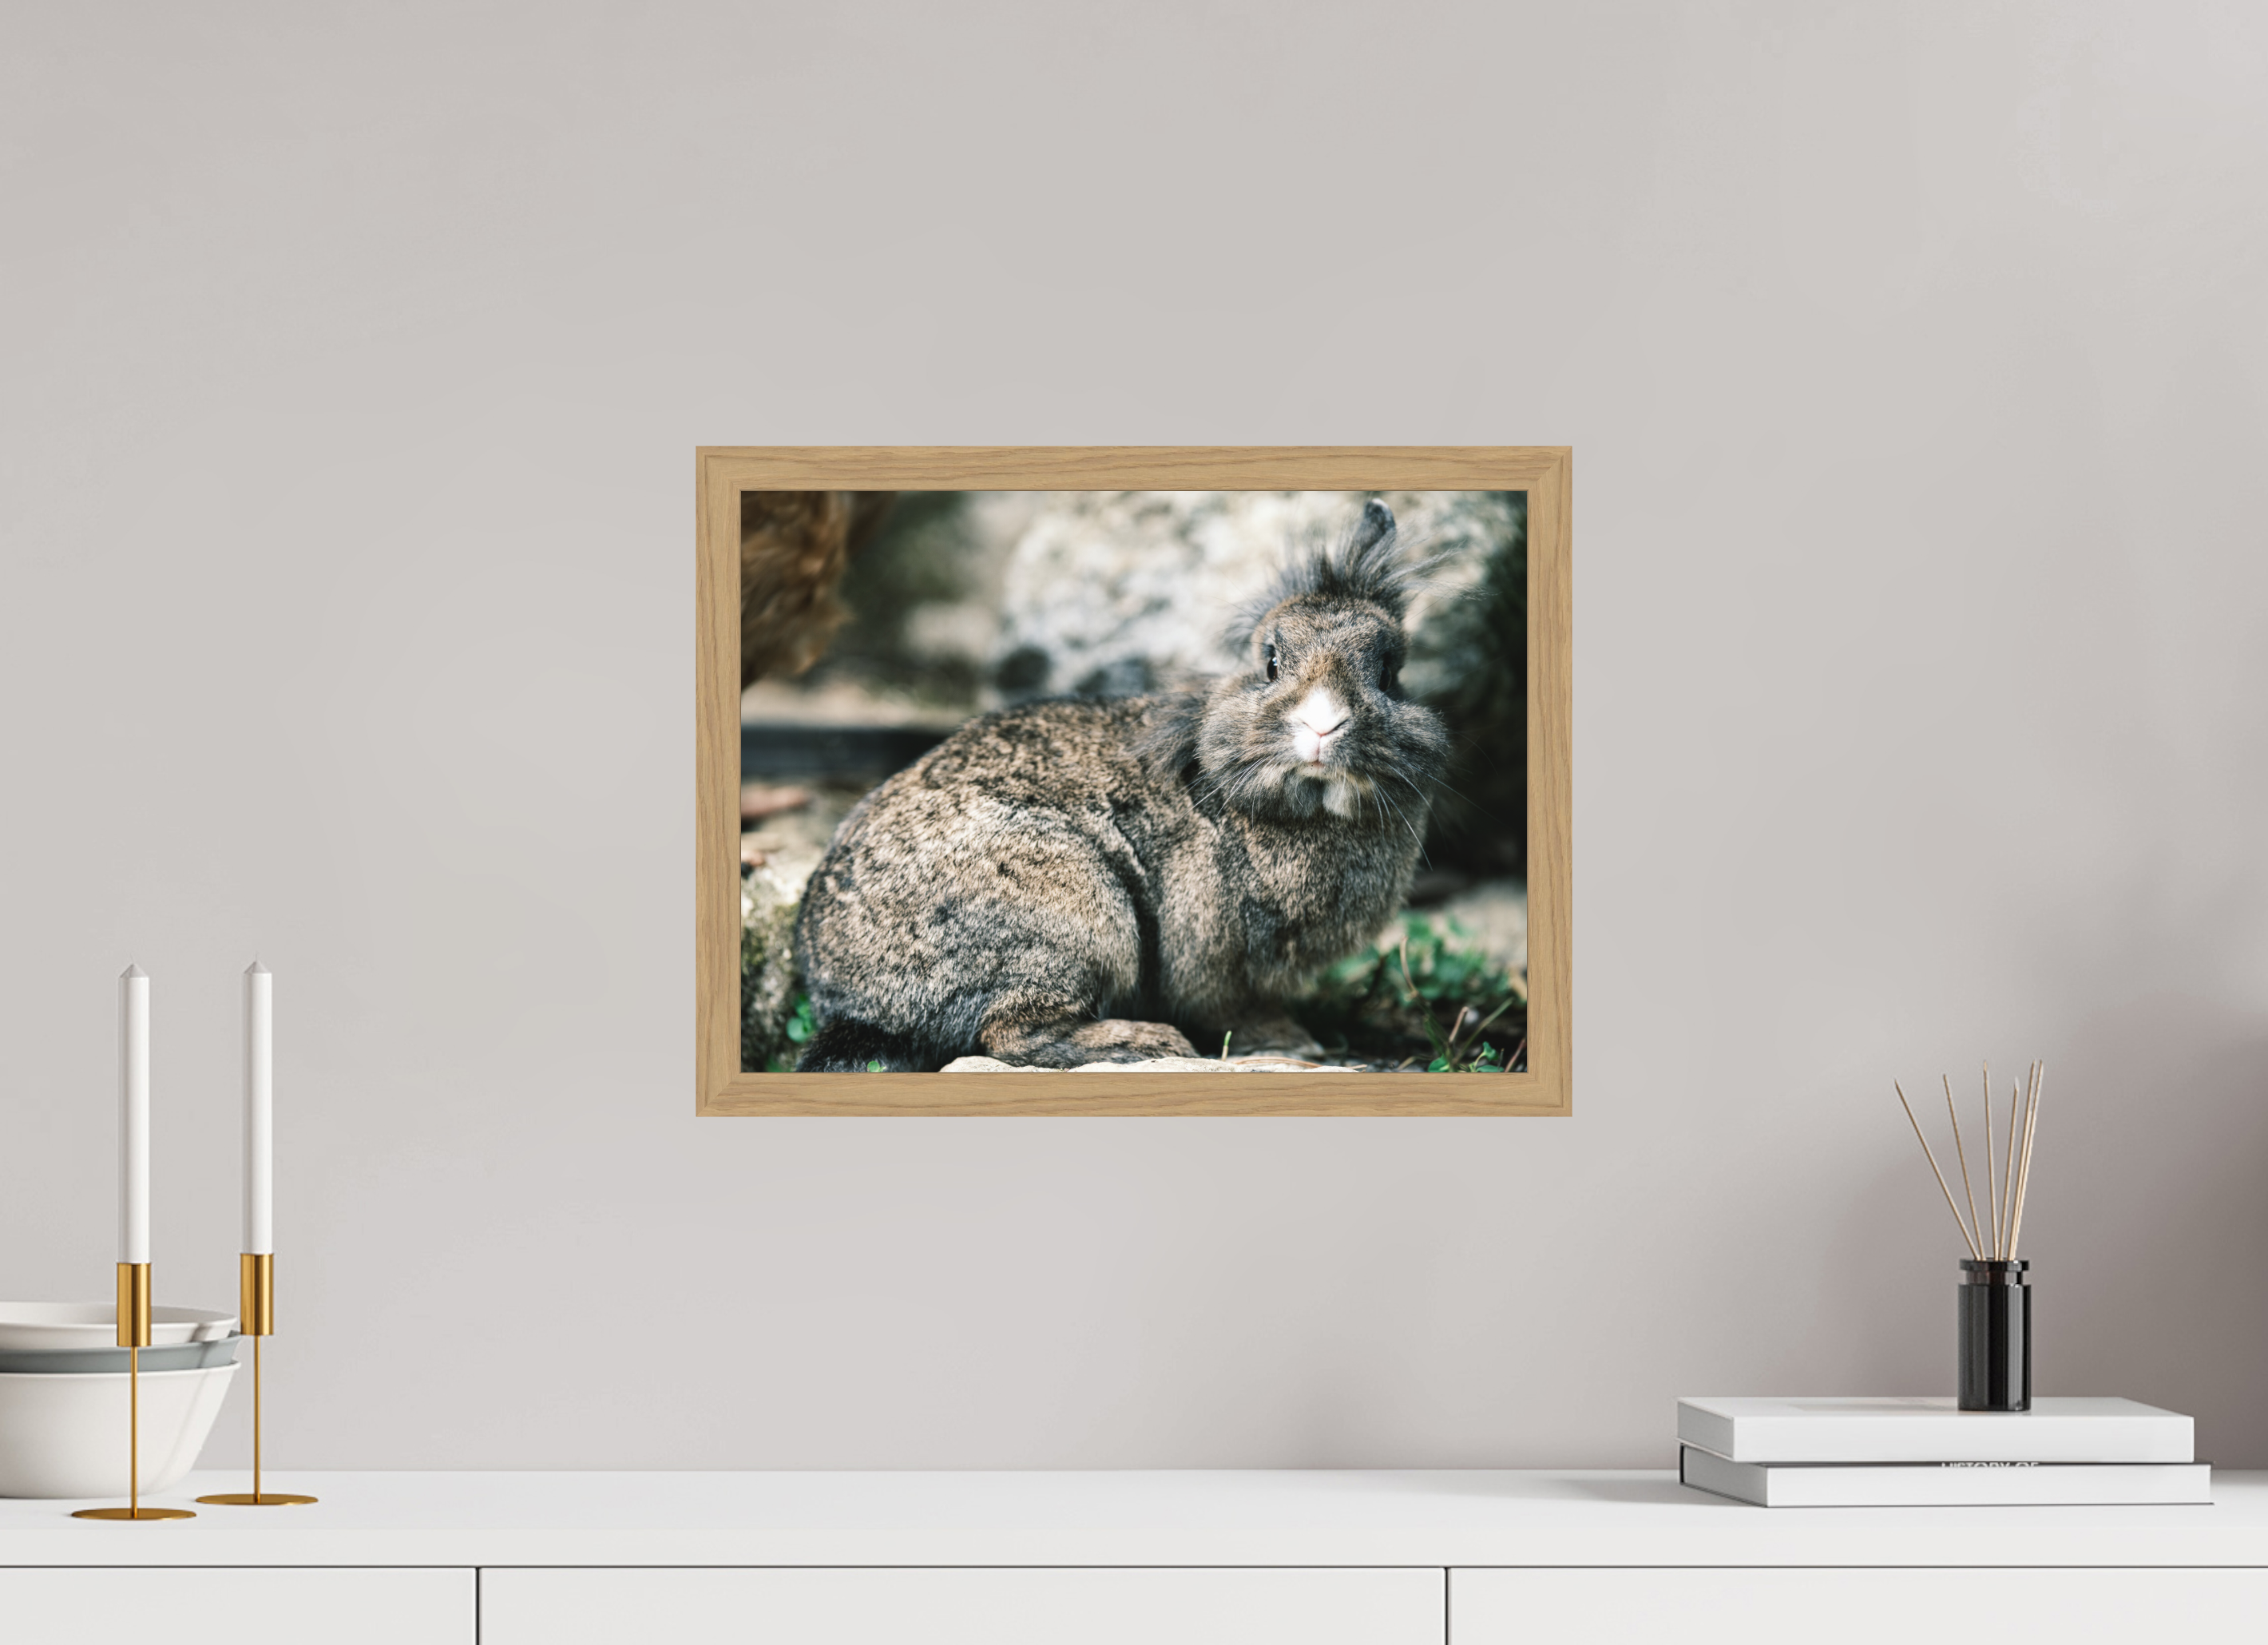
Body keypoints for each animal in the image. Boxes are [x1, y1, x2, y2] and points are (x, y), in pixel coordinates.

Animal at [792, 498, 1450, 1072]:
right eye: (1269, 663)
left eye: (1389, 672)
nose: (1321, 725)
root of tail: (851, 996)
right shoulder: (1211, 953)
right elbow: (1234, 1007)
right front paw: (1294, 1042)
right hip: (1079, 916)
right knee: (1010, 1033)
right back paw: (1150, 1042)